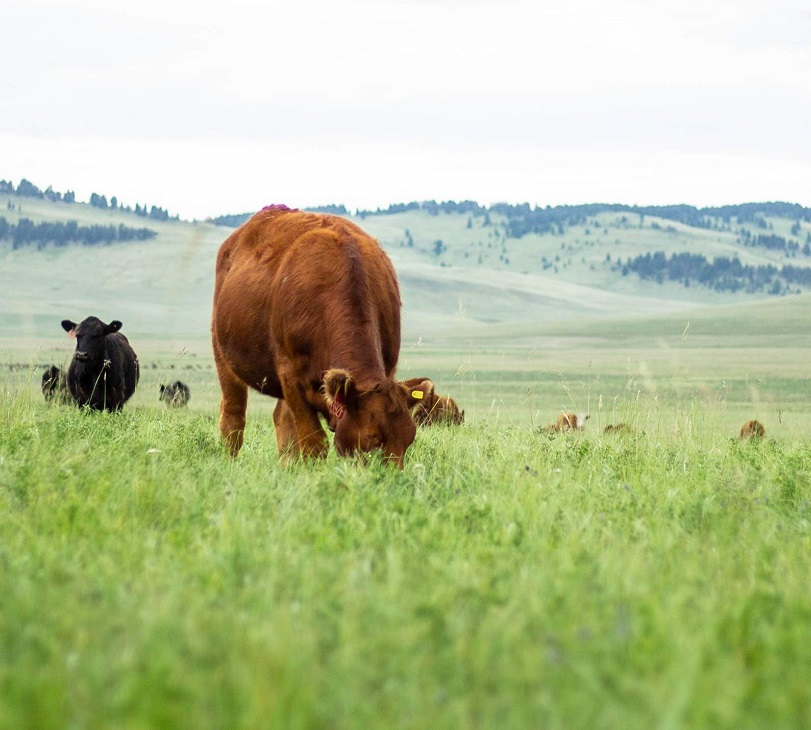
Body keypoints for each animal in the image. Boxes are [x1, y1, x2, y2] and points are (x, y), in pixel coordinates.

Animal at [211, 205, 417, 467]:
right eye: (372, 438)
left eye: (409, 438)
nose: (391, 476)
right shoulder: (291, 376)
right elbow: (313, 441)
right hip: (223, 354)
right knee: (233, 417)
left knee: (281, 419)